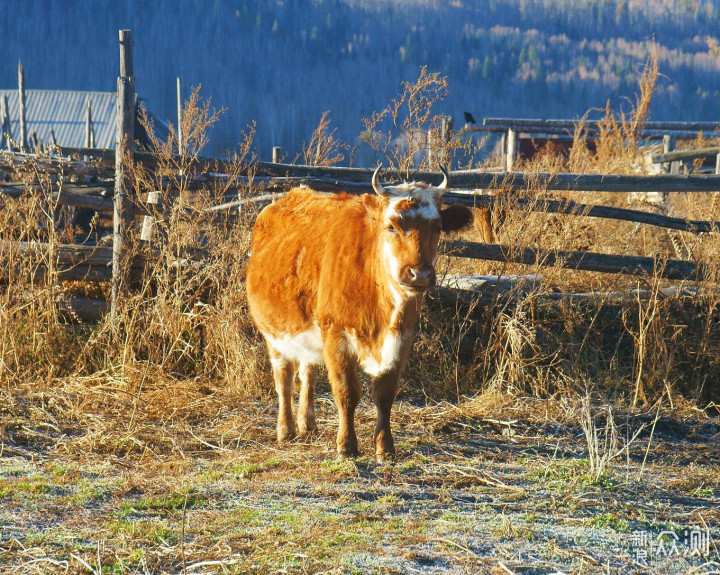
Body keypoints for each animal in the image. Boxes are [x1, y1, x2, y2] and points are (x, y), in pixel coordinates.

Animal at [245, 166, 476, 464]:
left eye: (437, 228)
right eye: (391, 226)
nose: (419, 274)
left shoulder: (402, 338)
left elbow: (385, 395)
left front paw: (385, 448)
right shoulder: (336, 335)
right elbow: (346, 392)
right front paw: (347, 446)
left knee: (308, 372)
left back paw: (308, 424)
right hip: (273, 333)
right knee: (284, 378)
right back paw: (286, 430)